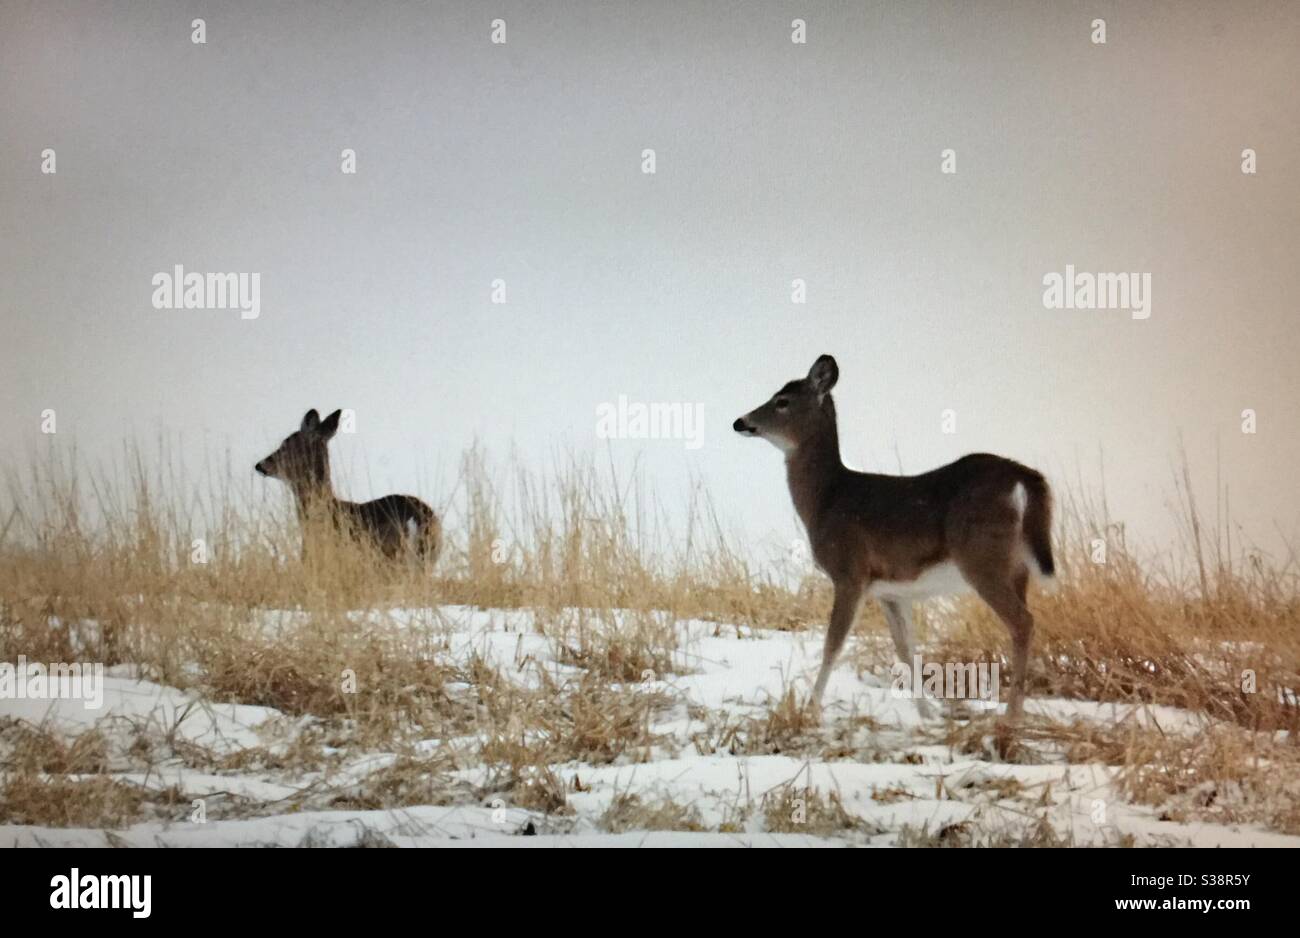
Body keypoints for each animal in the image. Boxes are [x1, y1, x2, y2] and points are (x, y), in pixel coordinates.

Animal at [733, 355, 1054, 730]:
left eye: (782, 401)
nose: (740, 422)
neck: (827, 499)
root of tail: (1023, 477)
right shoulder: (890, 591)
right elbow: (906, 650)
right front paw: (928, 715)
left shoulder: (850, 572)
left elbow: (832, 645)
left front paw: (811, 709)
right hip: (1018, 567)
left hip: (982, 559)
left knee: (1023, 622)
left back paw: (1011, 717)